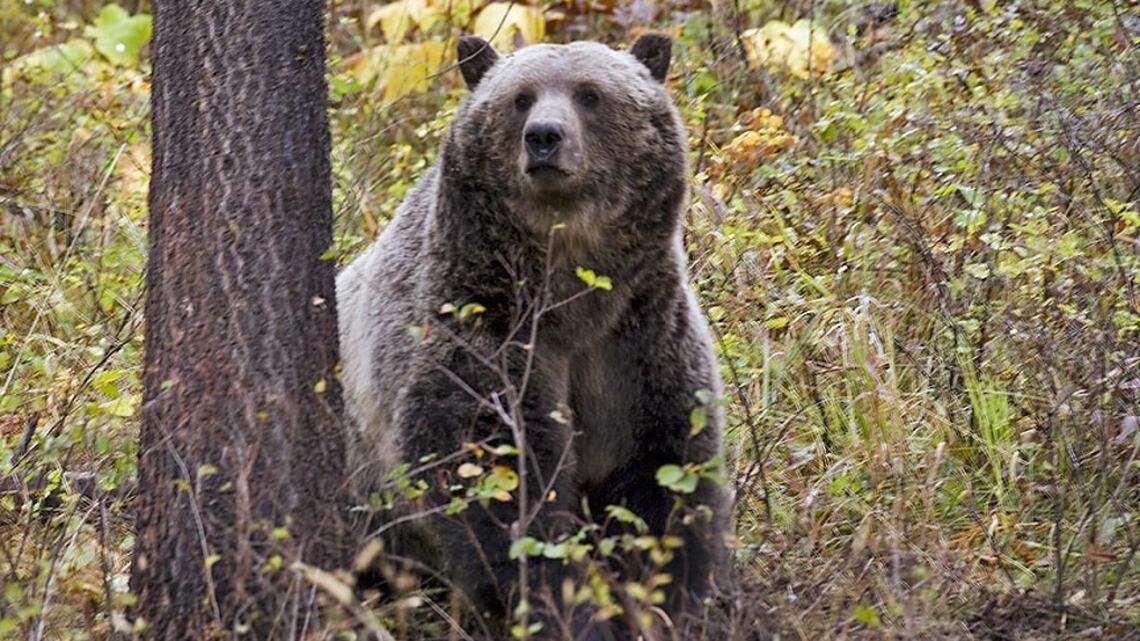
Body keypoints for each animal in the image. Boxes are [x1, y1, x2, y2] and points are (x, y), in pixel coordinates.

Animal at [336, 33, 729, 638]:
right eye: (520, 97)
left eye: (590, 93)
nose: (544, 136)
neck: (570, 293)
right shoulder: (483, 328)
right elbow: (500, 482)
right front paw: (564, 609)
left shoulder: (638, 341)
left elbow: (663, 474)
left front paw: (672, 599)